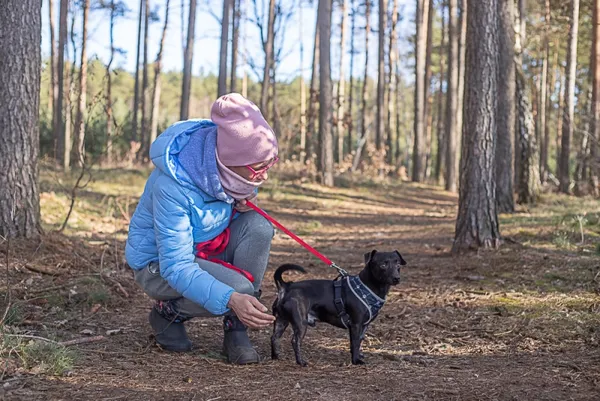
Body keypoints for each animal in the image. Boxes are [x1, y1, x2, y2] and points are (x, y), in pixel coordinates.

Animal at [272, 250, 408, 366]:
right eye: (383, 265)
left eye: (398, 264)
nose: (397, 278)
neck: (368, 287)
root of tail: (286, 287)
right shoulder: (356, 324)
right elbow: (355, 343)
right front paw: (356, 361)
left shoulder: (363, 326)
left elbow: (358, 341)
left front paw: (357, 356)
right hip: (300, 323)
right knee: (295, 341)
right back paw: (301, 362)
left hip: (281, 320)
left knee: (274, 337)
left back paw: (276, 357)